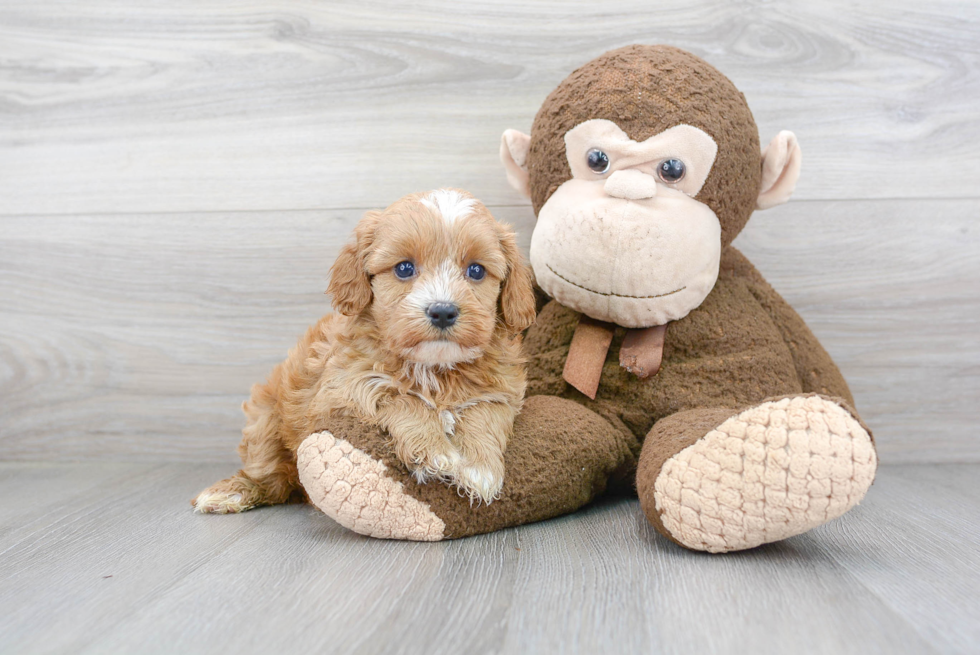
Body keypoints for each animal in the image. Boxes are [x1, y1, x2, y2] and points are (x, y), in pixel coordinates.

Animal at [191, 187, 536, 510]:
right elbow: (396, 395)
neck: (435, 369)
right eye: (404, 268)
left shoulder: (503, 389)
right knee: (270, 476)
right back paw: (232, 491)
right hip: (265, 421)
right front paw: (434, 449)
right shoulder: (338, 391)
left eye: (476, 270)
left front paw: (480, 467)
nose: (442, 311)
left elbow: (486, 412)